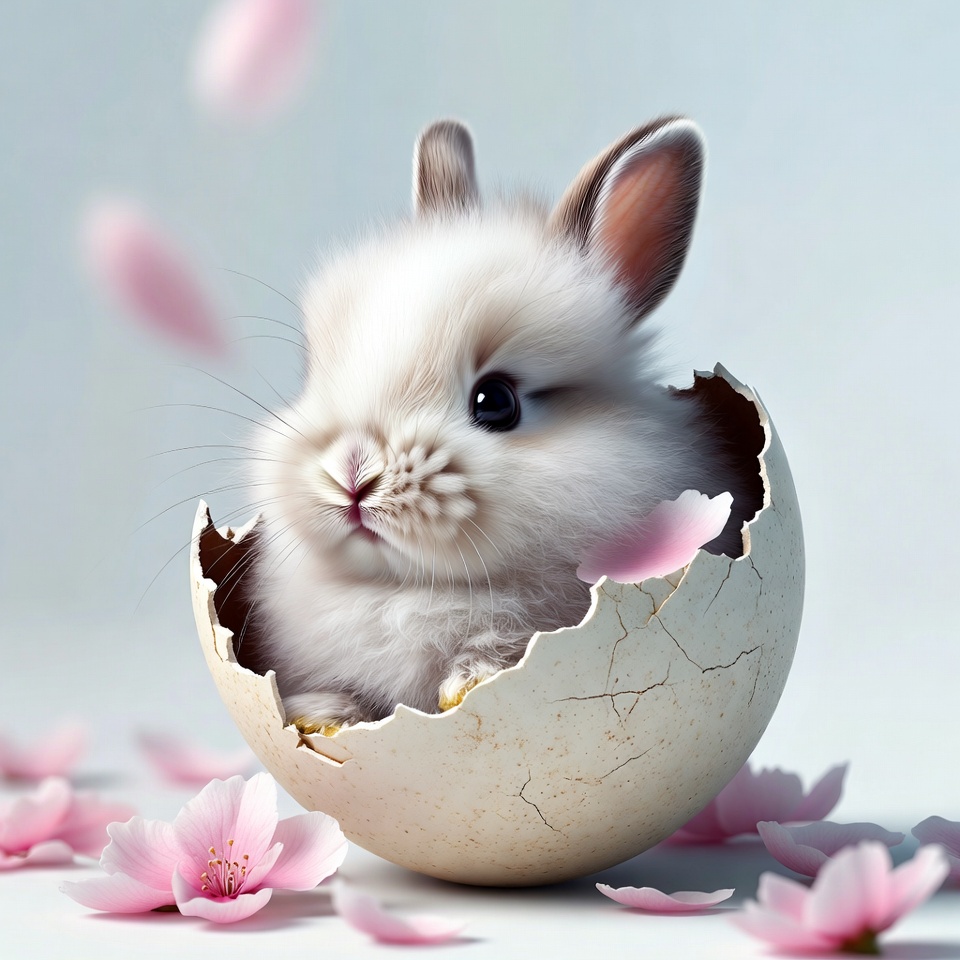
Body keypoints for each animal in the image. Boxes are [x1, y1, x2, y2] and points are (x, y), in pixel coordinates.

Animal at [247, 116, 744, 734]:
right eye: (318, 373)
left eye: (496, 402)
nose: (352, 477)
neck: (407, 593)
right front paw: (321, 715)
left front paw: (466, 685)